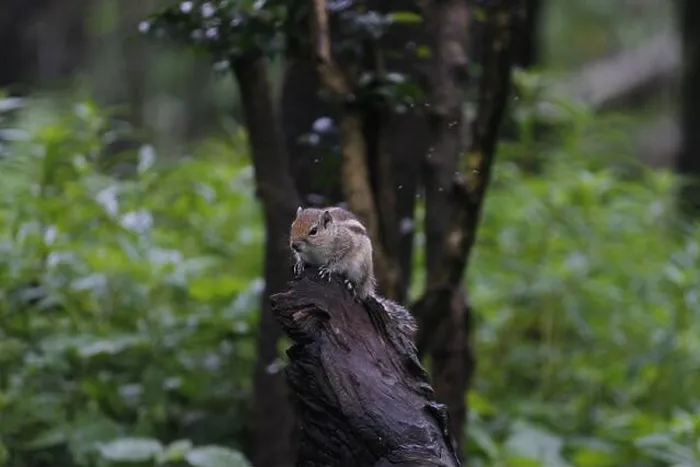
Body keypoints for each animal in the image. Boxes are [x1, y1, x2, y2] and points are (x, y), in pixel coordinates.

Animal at [289, 206, 418, 340]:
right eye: (293, 225)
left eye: (313, 231)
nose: (294, 245)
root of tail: (367, 287)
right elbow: (301, 258)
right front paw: (300, 264)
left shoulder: (346, 246)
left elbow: (338, 261)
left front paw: (328, 269)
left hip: (359, 269)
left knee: (358, 287)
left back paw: (351, 285)